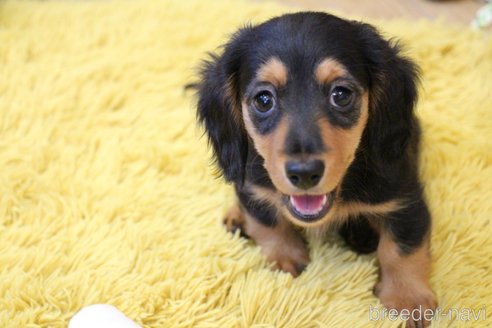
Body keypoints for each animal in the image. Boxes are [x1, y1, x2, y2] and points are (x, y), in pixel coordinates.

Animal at [195, 11, 434, 326]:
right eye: (263, 100)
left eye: (341, 94)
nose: (304, 173)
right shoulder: (252, 187)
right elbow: (268, 224)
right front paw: (285, 259)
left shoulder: (405, 200)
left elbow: (402, 249)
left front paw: (407, 299)